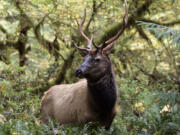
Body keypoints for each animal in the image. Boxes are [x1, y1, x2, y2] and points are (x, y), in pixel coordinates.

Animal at [40, 0, 128, 130]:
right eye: (84, 58)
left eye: (97, 59)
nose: (78, 71)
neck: (103, 109)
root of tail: (44, 95)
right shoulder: (82, 122)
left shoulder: (108, 125)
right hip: (46, 120)